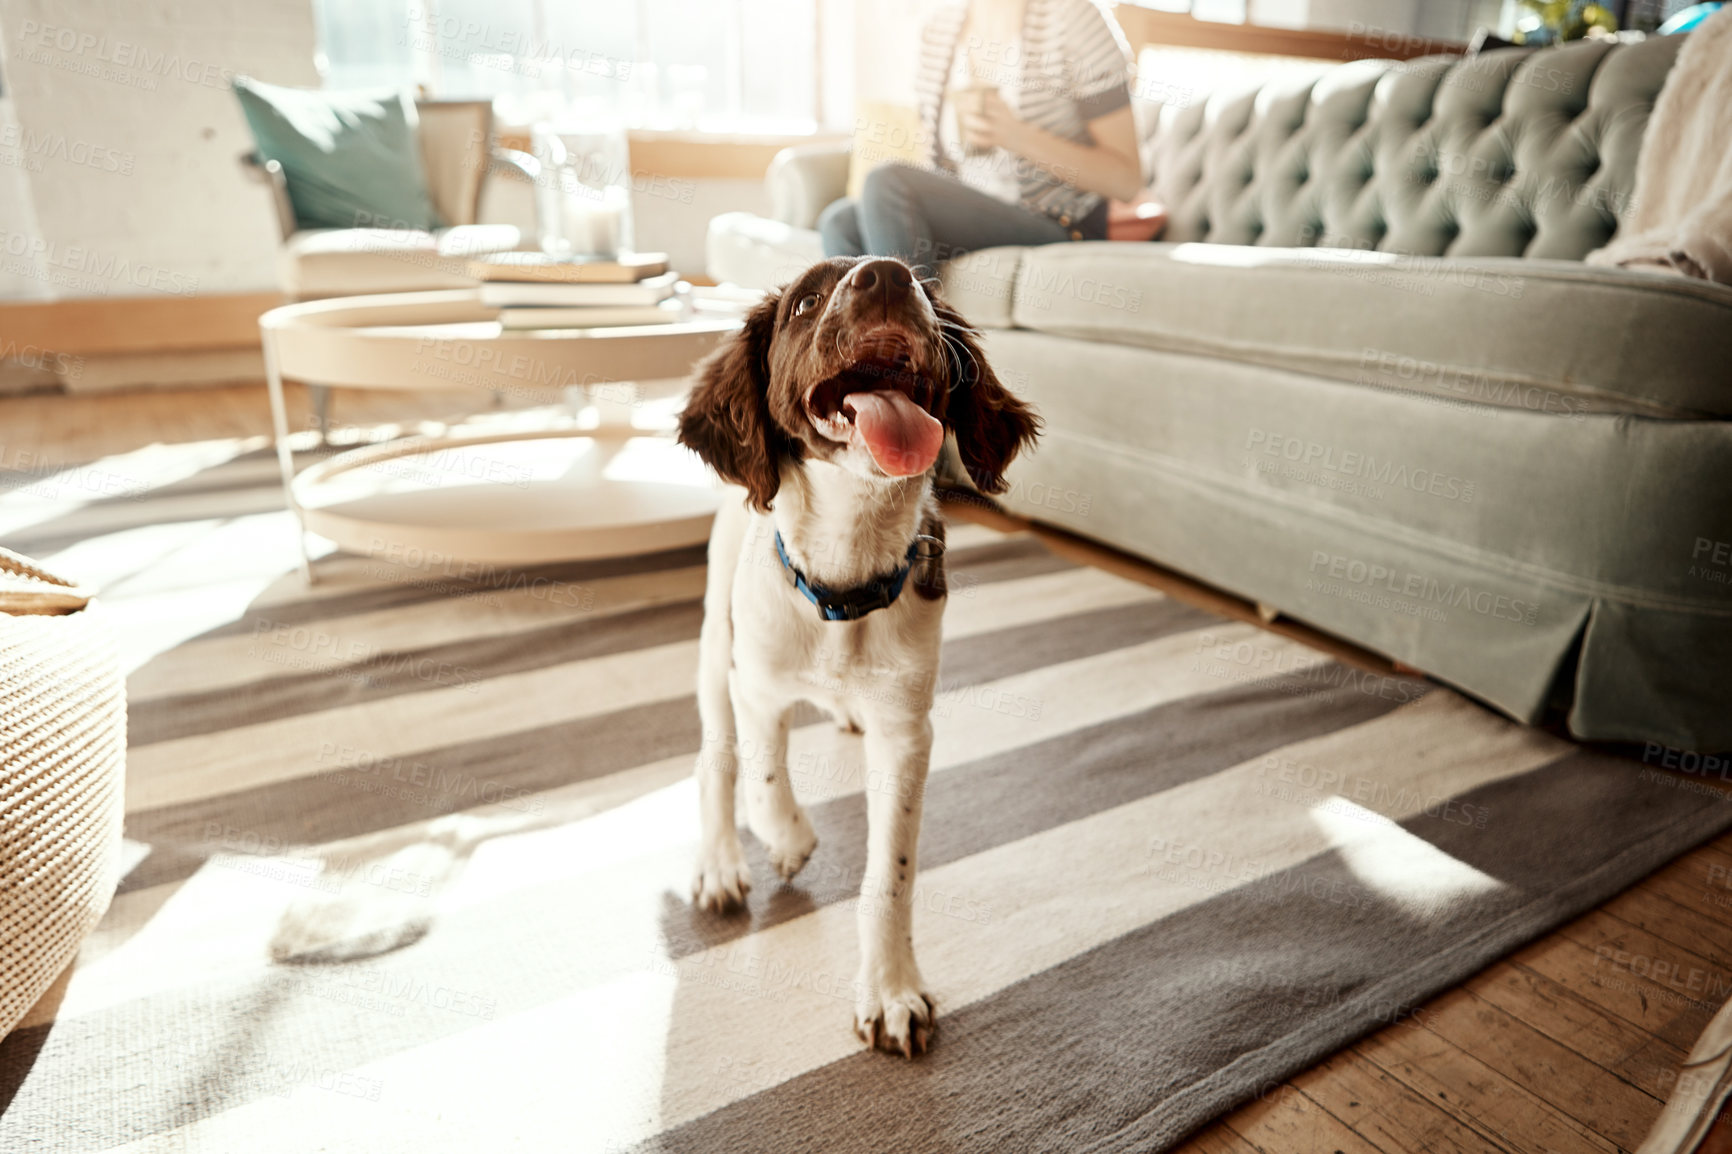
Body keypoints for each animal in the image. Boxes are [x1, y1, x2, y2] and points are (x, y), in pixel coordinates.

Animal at [675, 256, 1032, 1053]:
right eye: (806, 301)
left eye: (926, 289)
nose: (890, 276)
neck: (845, 575)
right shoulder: (756, 682)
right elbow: (764, 774)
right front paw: (786, 840)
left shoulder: (906, 730)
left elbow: (890, 875)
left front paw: (891, 991)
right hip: (715, 644)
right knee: (716, 760)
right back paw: (719, 863)